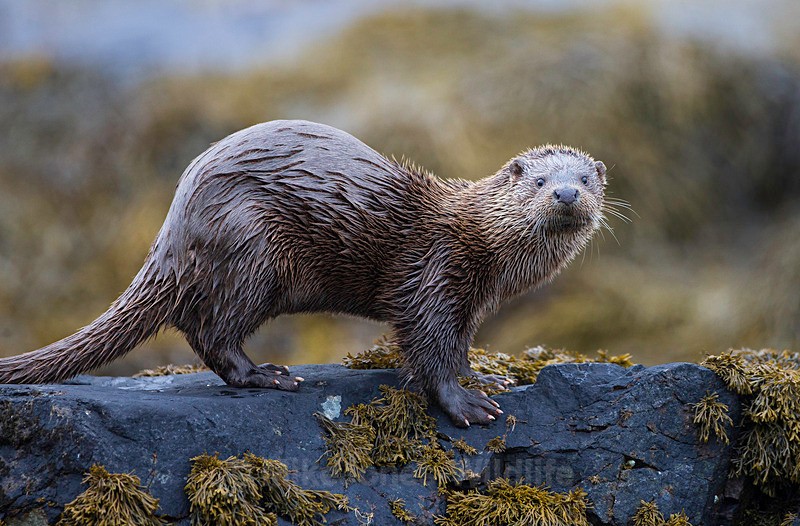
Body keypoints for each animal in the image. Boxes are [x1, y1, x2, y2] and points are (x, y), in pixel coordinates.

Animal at [0, 120, 607, 427]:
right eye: (539, 182)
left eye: (585, 179)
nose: (566, 194)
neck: (478, 241)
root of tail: (171, 231)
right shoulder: (433, 277)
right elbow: (427, 348)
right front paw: (465, 404)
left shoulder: (469, 301)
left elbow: (456, 346)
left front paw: (485, 378)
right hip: (250, 250)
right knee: (212, 332)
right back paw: (267, 375)